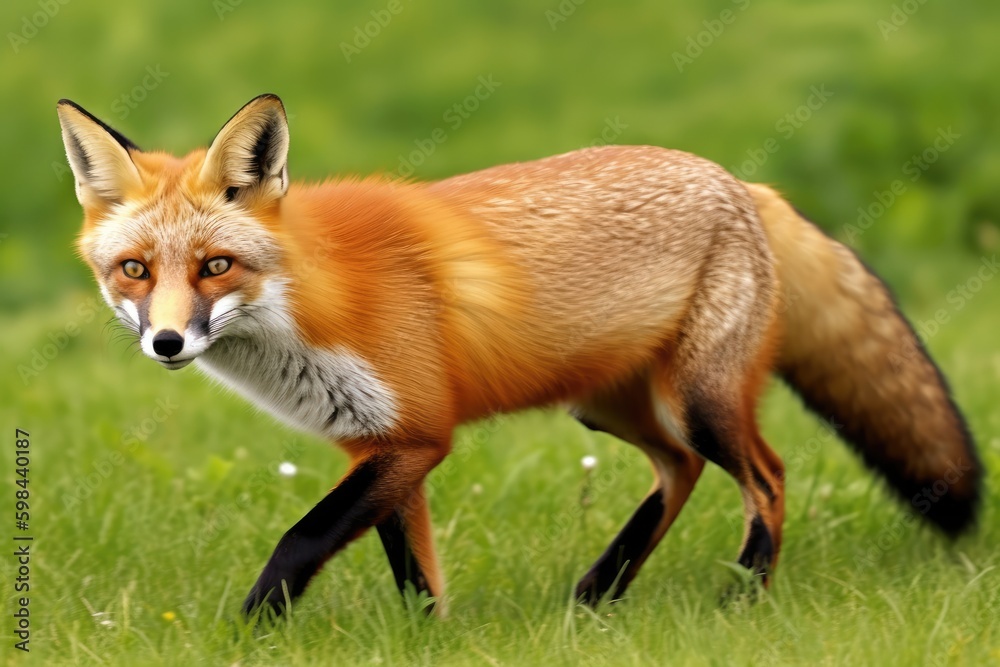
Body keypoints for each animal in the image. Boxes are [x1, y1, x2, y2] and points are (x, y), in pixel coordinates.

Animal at [58, 93, 982, 618]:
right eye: (135, 270)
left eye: (216, 265)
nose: (167, 341)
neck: (309, 303)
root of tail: (740, 182)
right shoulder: (382, 443)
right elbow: (412, 572)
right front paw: (428, 642)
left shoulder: (419, 434)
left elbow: (299, 539)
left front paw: (248, 631)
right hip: (607, 405)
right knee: (679, 471)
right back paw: (598, 596)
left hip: (698, 399)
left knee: (768, 476)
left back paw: (741, 599)